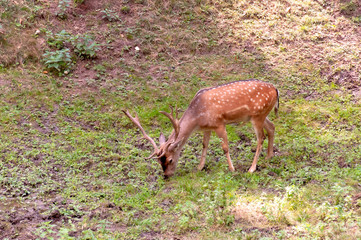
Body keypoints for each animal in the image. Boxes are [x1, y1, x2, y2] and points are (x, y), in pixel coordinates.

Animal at [123, 79, 278, 178]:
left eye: (170, 160)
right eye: (158, 161)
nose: (166, 175)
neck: (197, 117)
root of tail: (276, 90)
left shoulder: (219, 123)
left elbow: (225, 147)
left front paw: (232, 169)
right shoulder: (207, 127)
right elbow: (204, 145)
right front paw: (200, 167)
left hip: (257, 116)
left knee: (261, 137)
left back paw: (251, 169)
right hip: (261, 115)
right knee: (272, 127)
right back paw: (269, 156)